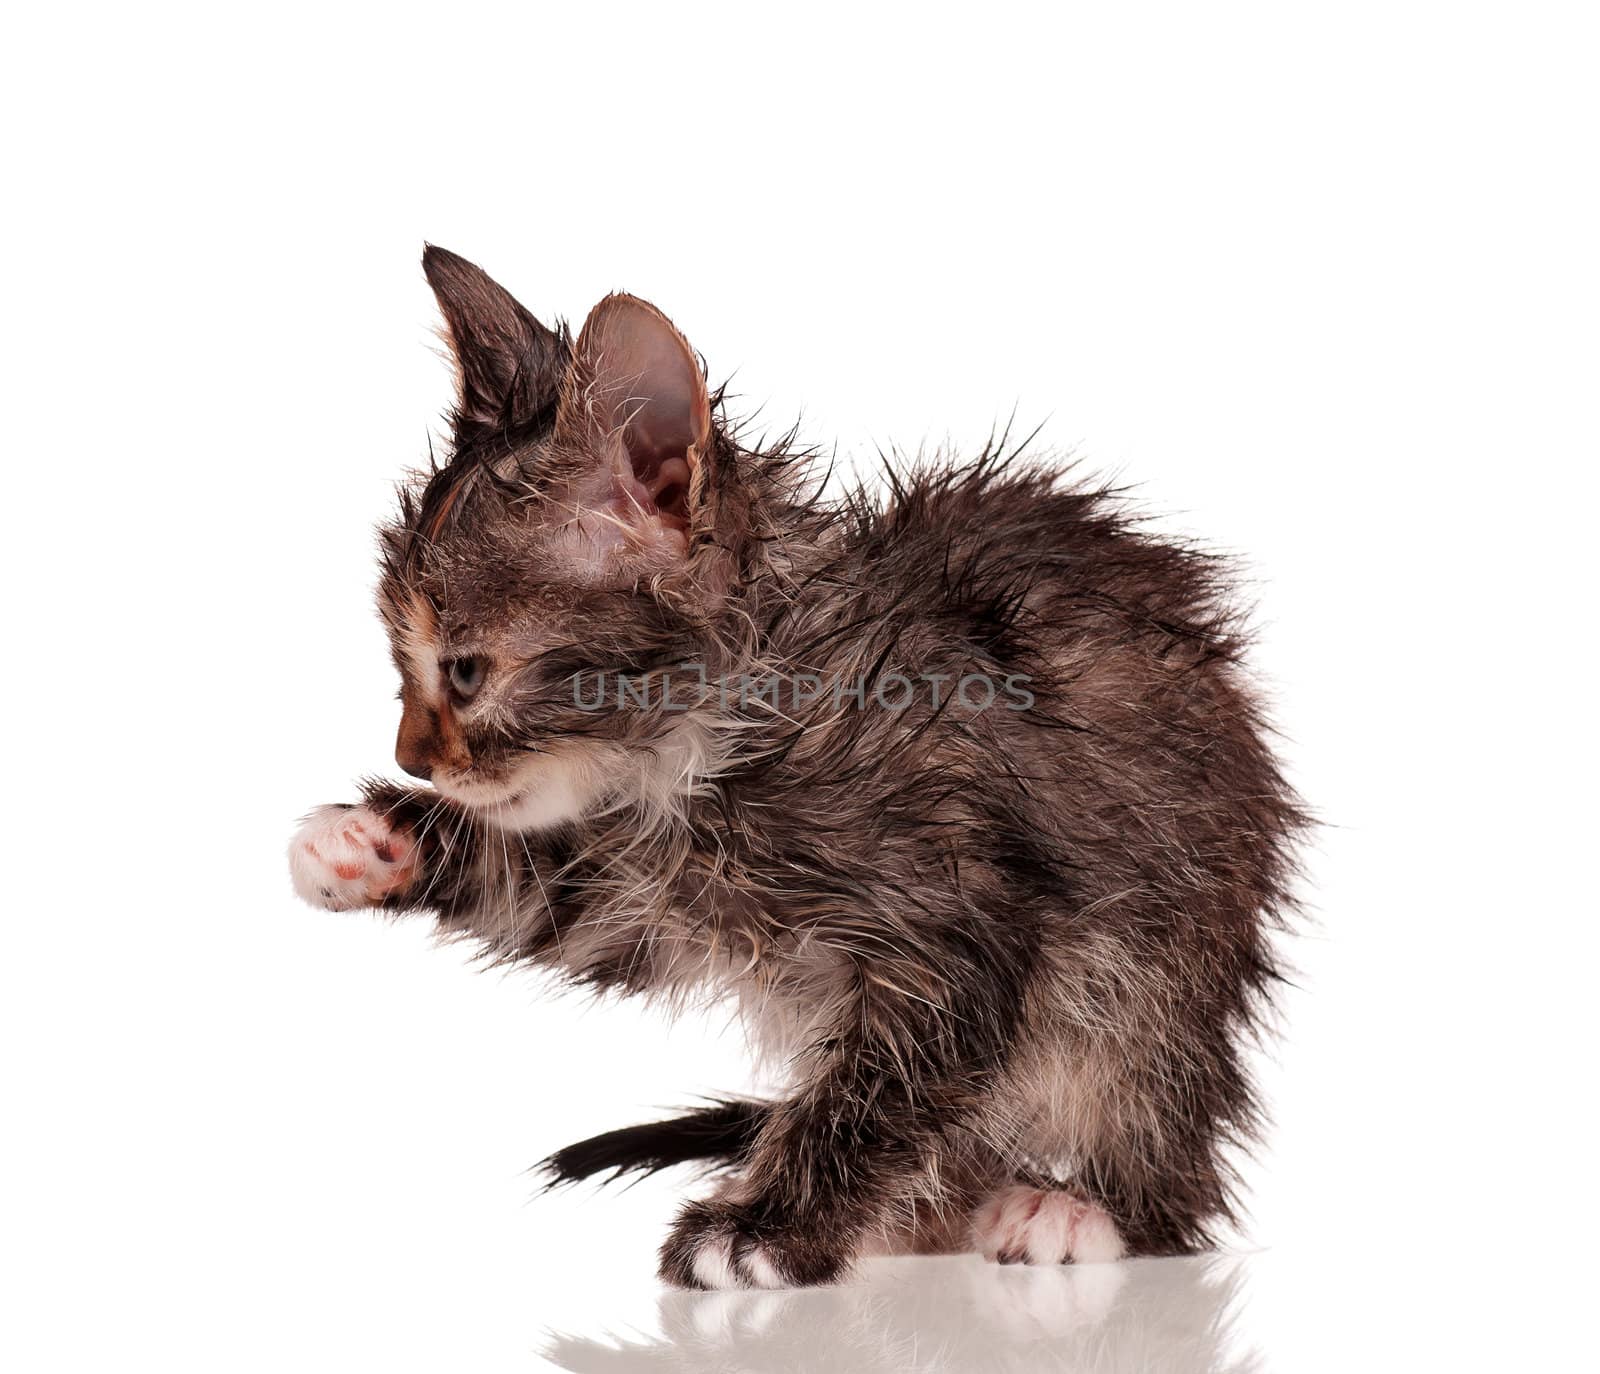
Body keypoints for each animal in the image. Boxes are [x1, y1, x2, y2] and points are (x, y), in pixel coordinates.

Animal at [291, 247, 1312, 1292]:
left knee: (1151, 1117)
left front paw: (763, 1228)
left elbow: (881, 1085)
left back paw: (1077, 1209)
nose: (411, 758)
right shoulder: (641, 893)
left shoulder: (959, 909)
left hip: (1155, 975)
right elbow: (550, 900)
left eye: (465, 671)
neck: (716, 742)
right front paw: (363, 843)